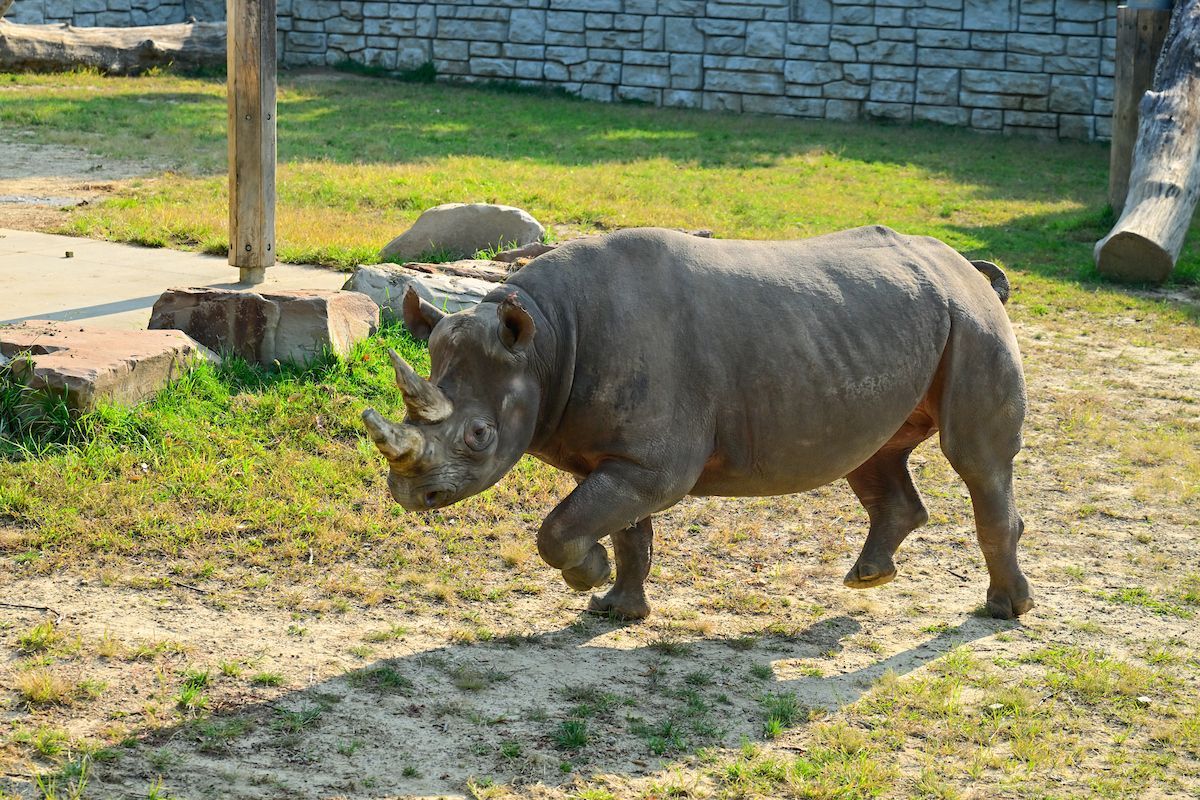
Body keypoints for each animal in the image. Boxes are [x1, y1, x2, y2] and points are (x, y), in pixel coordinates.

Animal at [362, 226, 1033, 621]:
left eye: (479, 437)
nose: (410, 495)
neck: (545, 340)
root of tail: (968, 270)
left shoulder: (652, 462)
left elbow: (563, 526)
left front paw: (587, 576)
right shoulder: (617, 455)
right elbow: (625, 530)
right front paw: (615, 607)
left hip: (971, 321)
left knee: (976, 461)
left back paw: (1005, 610)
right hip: (895, 325)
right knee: (875, 452)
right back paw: (869, 579)